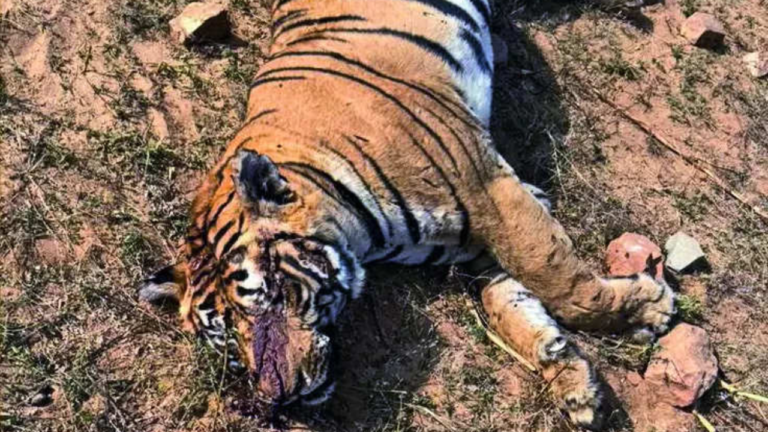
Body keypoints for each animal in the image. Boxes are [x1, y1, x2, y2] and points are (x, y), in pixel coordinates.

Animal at [140, 0, 675, 428]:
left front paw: (650, 307)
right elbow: (515, 307)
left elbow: (558, 279)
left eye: (272, 294)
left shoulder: (488, 189)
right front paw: (573, 385)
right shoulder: (478, 244)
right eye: (228, 341)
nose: (280, 398)